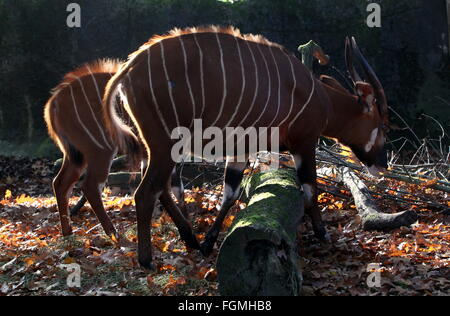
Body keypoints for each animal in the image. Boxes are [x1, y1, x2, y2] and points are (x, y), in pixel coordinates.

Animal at [44, 59, 192, 247]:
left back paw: (68, 235)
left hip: (77, 155)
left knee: (60, 183)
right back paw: (114, 235)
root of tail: (53, 103)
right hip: (102, 150)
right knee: (89, 186)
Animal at [103, 27, 388, 268]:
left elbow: (230, 194)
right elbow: (310, 189)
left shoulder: (241, 150)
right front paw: (322, 234)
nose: (382, 164)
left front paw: (208, 243)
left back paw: (191, 240)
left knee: (159, 188)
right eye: (381, 124)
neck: (320, 98)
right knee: (145, 192)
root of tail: (128, 68)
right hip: (165, 144)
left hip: (154, 146)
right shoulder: (304, 143)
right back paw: (146, 260)